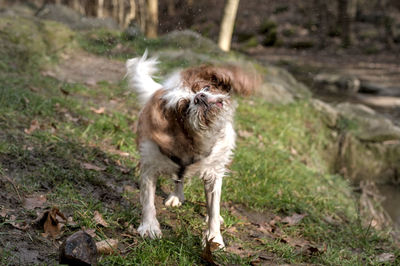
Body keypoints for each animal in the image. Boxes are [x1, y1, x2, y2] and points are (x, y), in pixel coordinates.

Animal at [127, 51, 260, 247]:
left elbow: (213, 209)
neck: (197, 141)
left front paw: (213, 238)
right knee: (177, 179)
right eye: (184, 108)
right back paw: (176, 196)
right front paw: (149, 227)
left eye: (206, 87)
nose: (200, 97)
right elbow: (148, 201)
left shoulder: (214, 174)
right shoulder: (149, 168)